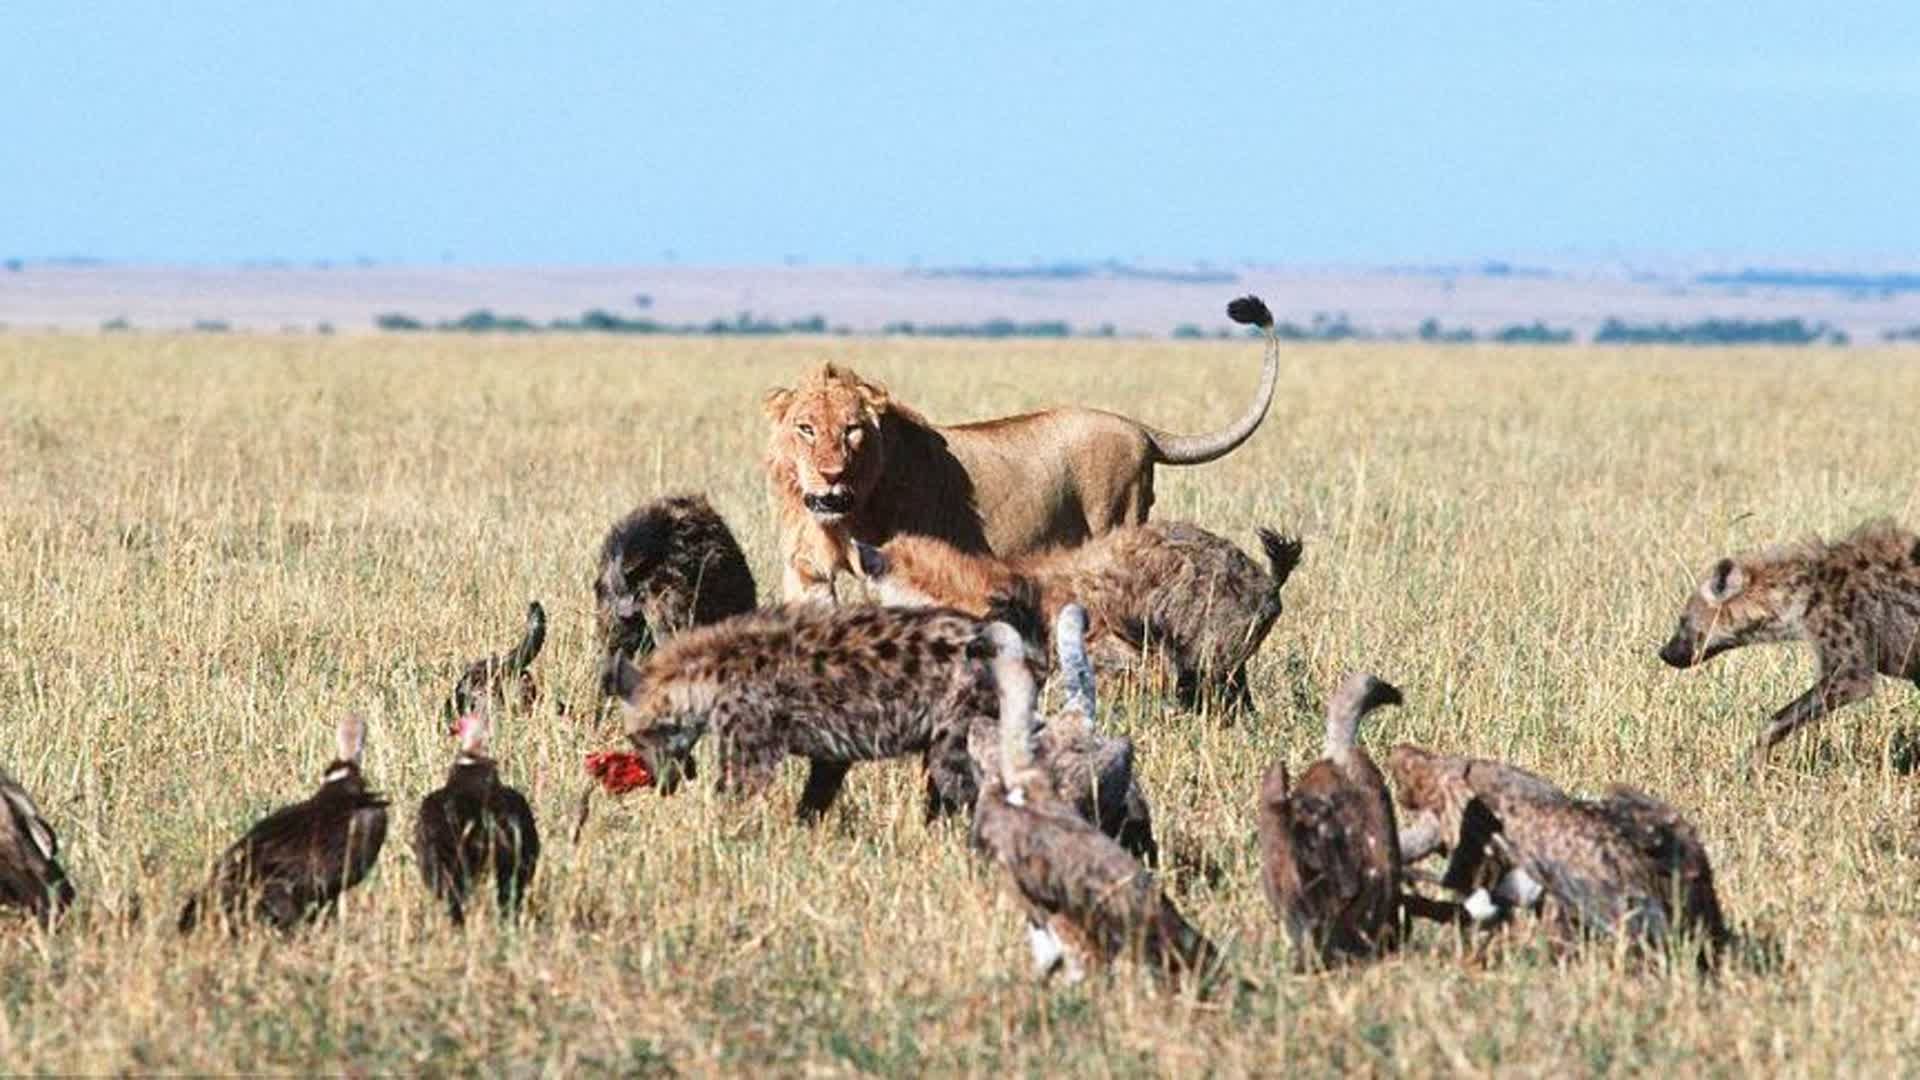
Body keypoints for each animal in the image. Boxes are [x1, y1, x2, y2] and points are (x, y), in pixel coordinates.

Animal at [756, 292, 1282, 595]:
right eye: (805, 428)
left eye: (852, 429)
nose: (830, 475)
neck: (853, 506)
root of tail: (1136, 426)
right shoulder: (807, 569)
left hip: (1118, 514)